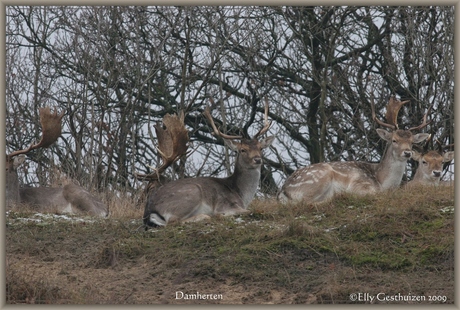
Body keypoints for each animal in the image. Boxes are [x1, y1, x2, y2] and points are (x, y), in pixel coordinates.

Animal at [143, 99, 274, 228]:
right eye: (242, 150)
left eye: (261, 148)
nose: (257, 159)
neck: (241, 194)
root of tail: (149, 212)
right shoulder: (224, 204)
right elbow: (250, 211)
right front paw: (223, 216)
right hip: (192, 193)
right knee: (173, 221)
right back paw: (204, 217)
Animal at [276, 97, 432, 203]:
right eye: (394, 140)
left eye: (412, 142)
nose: (407, 152)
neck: (381, 181)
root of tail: (283, 191)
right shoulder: (360, 184)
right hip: (320, 177)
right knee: (306, 202)